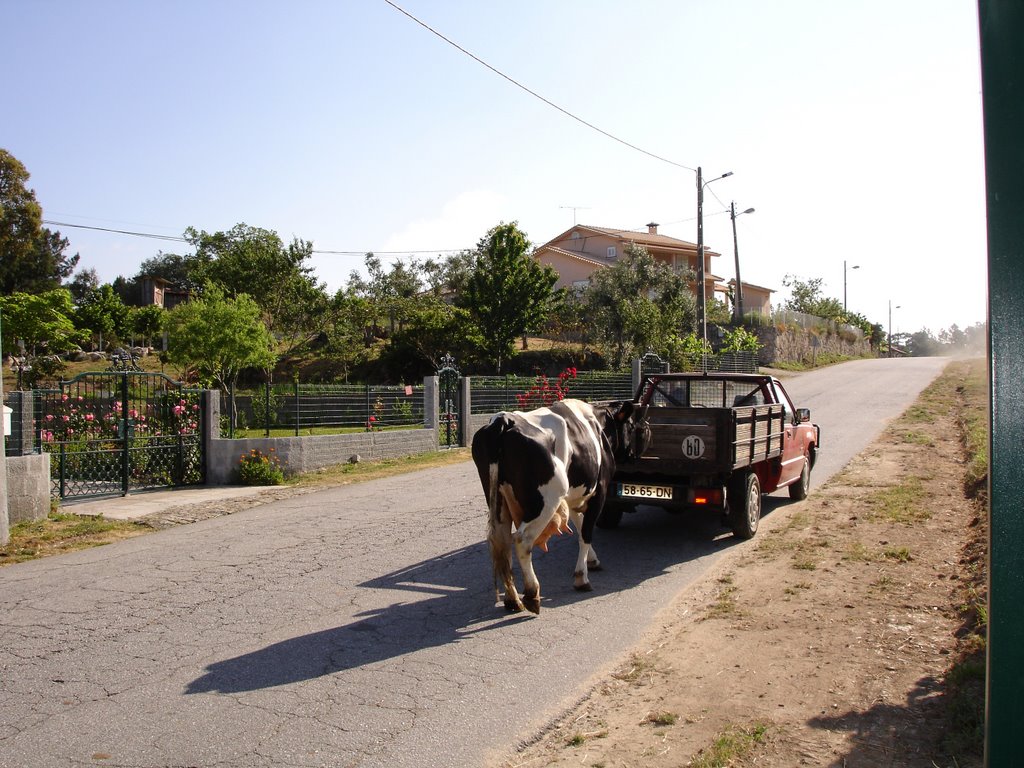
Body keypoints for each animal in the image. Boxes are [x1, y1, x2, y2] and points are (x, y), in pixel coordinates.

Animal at [468, 399, 643, 618]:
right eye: (632, 426)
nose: (635, 455)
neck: (600, 423)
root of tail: (504, 420)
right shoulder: (599, 491)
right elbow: (586, 533)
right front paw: (581, 578)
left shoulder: (576, 497)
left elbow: (579, 527)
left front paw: (592, 560)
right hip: (548, 500)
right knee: (522, 540)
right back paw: (532, 594)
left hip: (499, 501)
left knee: (502, 541)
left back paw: (513, 599)